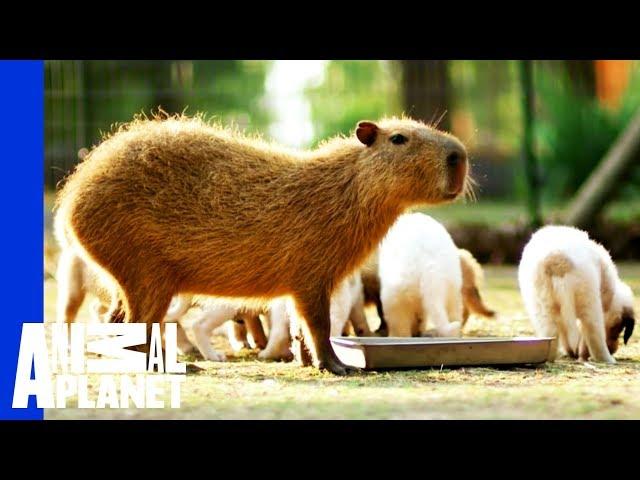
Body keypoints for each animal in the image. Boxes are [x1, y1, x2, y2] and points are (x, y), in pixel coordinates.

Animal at [520, 227, 636, 362]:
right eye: (618, 328)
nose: (613, 350)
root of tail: (557, 261)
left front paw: (571, 352)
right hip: (589, 301)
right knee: (593, 332)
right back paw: (606, 359)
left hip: (542, 304)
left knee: (551, 332)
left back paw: (550, 359)